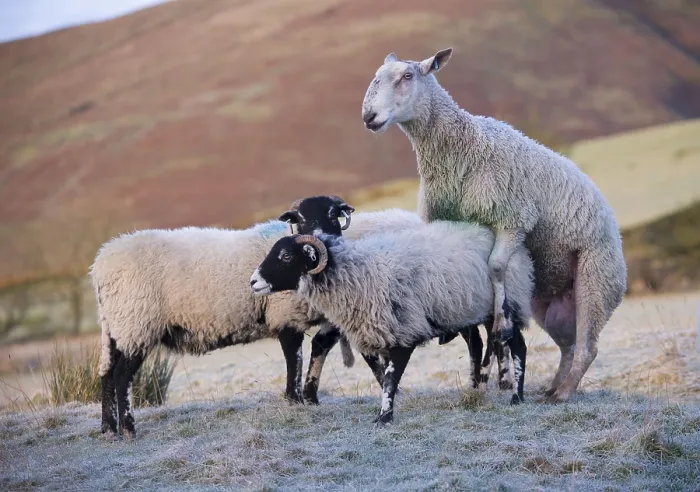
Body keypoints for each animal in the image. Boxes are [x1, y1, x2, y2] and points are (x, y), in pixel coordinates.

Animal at [90, 196, 421, 436]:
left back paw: (108, 428)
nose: (319, 239)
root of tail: (101, 263)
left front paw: (310, 397)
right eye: (299, 218)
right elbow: (294, 360)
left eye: (332, 215)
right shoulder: (285, 315)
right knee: (122, 376)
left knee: (106, 373)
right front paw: (295, 400)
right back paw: (129, 428)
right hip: (137, 324)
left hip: (117, 328)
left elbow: (319, 349)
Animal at [250, 220, 534, 425]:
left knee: (518, 347)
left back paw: (516, 397)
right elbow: (383, 375)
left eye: (286, 256)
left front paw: (384, 417)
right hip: (469, 309)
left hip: (510, 304)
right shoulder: (381, 334)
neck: (358, 275)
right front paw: (386, 410)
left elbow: (389, 379)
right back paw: (475, 388)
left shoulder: (404, 332)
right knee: (477, 344)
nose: (253, 281)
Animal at [278, 195, 517, 402]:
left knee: (486, 336)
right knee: (477, 340)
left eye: (332, 214)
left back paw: (492, 382)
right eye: (299, 219)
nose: (317, 240)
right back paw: (482, 383)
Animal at [361, 48, 627, 403]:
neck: (461, 149)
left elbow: (496, 266)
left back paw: (563, 392)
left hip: (596, 280)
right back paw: (551, 387)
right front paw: (487, 367)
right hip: (548, 303)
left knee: (588, 347)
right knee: (568, 346)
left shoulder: (513, 218)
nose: (369, 116)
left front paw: (500, 333)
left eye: (408, 76)